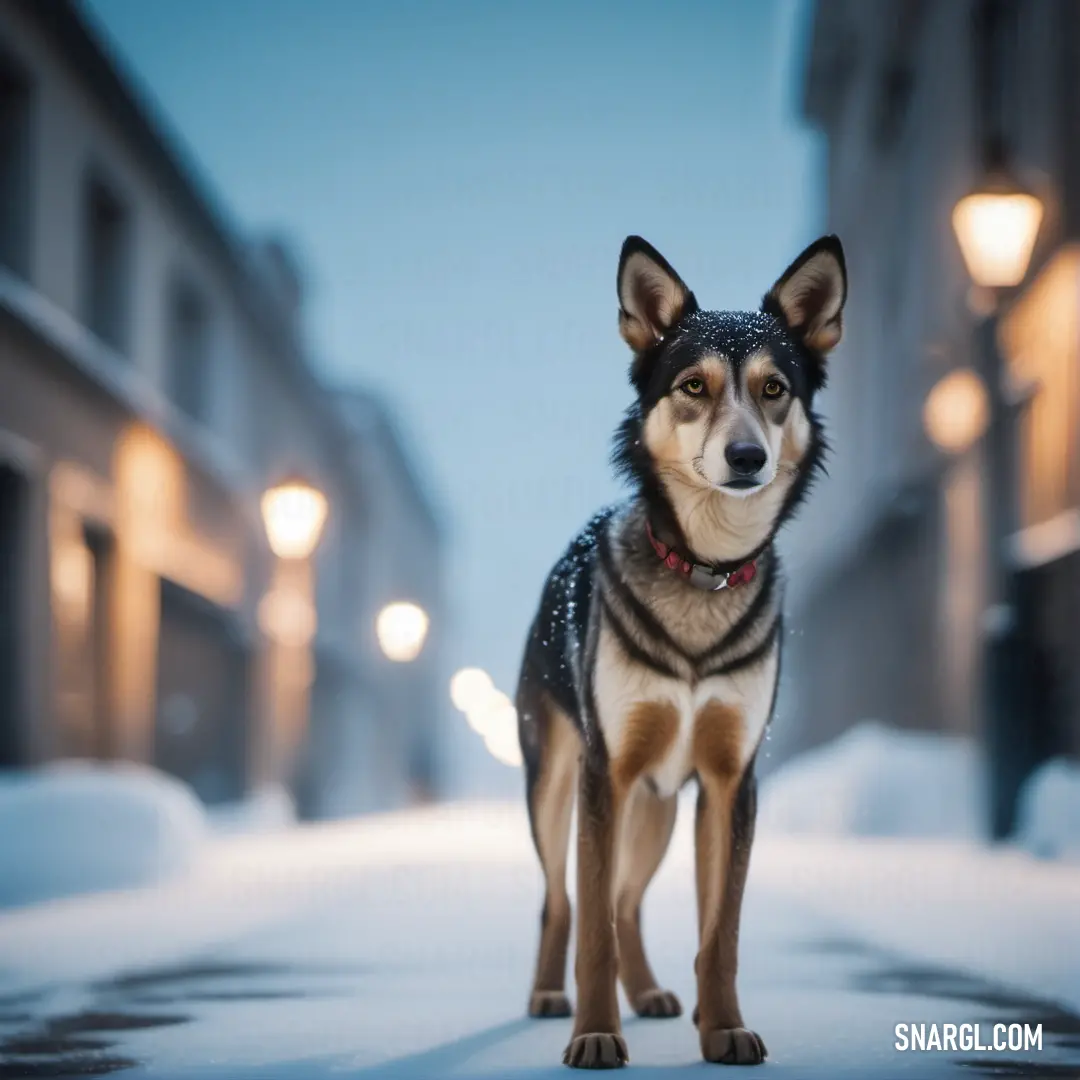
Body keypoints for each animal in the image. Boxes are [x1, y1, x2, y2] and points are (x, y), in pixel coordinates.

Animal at [514, 232, 842, 1067]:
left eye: (774, 388)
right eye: (693, 385)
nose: (747, 456)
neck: (703, 567)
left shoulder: (730, 782)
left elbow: (720, 931)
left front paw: (723, 1028)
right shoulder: (605, 771)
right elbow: (591, 924)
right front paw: (596, 1034)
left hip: (658, 806)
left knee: (627, 900)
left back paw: (650, 993)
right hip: (556, 783)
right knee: (563, 899)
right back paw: (550, 995)